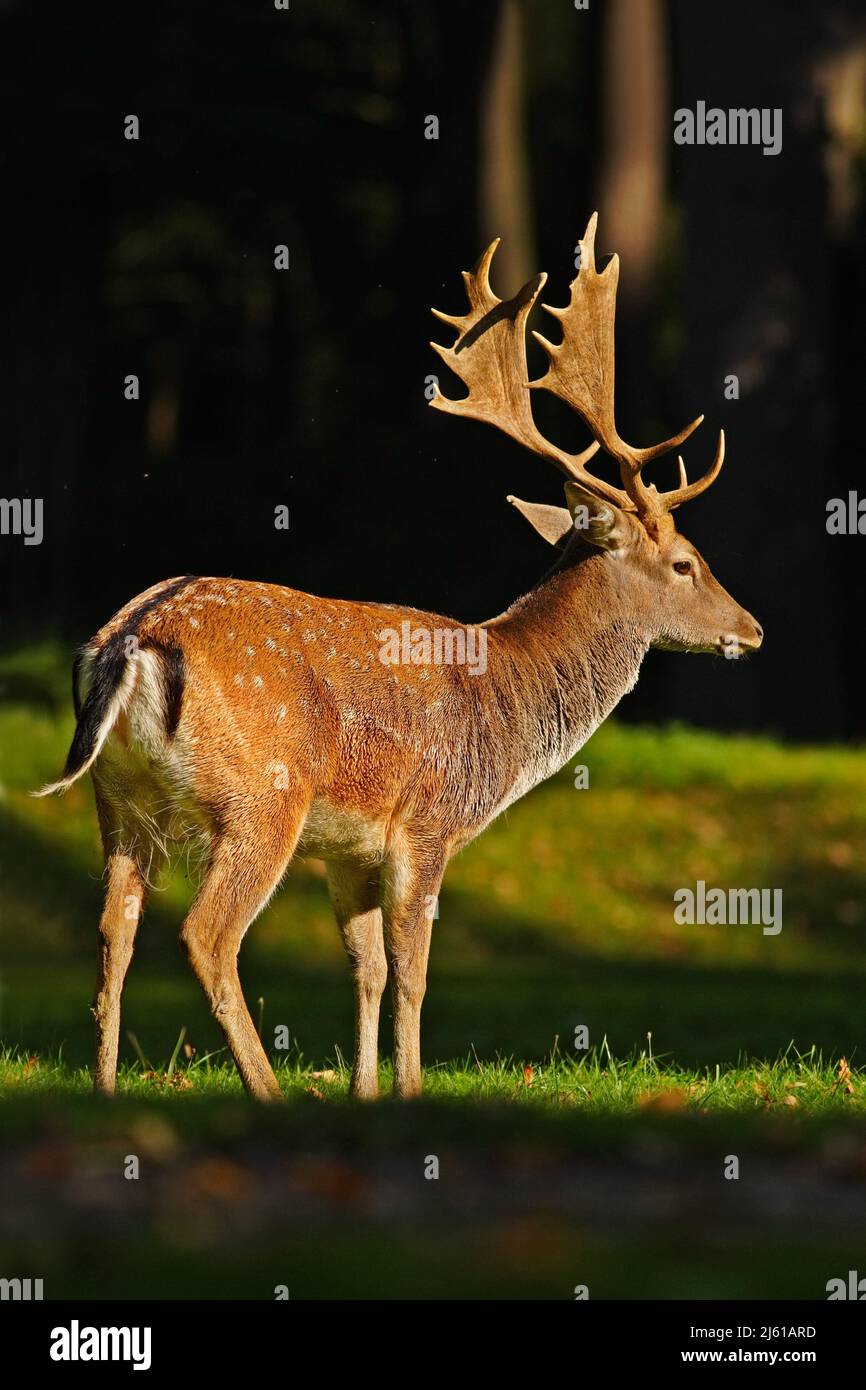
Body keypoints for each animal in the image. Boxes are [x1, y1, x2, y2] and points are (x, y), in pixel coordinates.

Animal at [37, 214, 762, 1102]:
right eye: (686, 562)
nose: (752, 629)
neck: (508, 699)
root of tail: (131, 640)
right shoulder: (428, 820)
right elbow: (413, 971)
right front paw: (410, 1091)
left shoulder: (349, 849)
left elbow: (369, 969)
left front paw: (367, 1093)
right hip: (260, 795)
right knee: (207, 935)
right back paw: (267, 1092)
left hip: (116, 797)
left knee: (114, 928)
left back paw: (104, 1089)